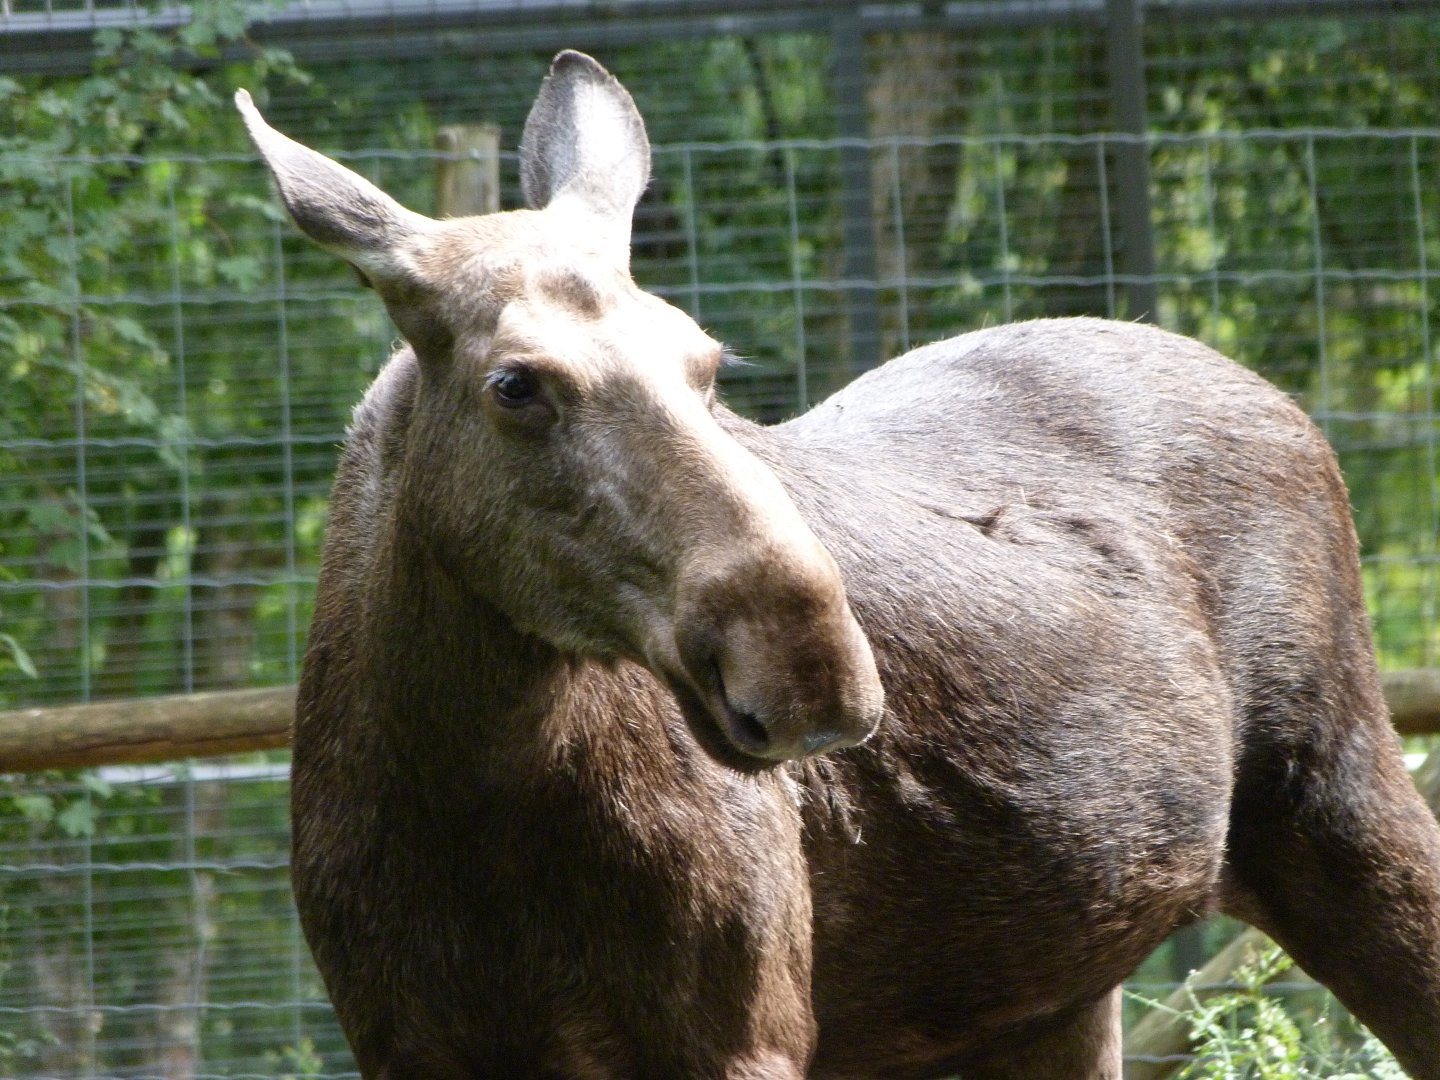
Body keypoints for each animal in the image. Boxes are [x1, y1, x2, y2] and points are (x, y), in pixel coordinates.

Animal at [236, 51, 1440, 1079]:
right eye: (515, 383)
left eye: (708, 362)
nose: (809, 663)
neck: (467, 793)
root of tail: (1286, 403)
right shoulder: (406, 1043)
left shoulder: (740, 1031)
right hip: (1049, 990)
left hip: (1344, 805)